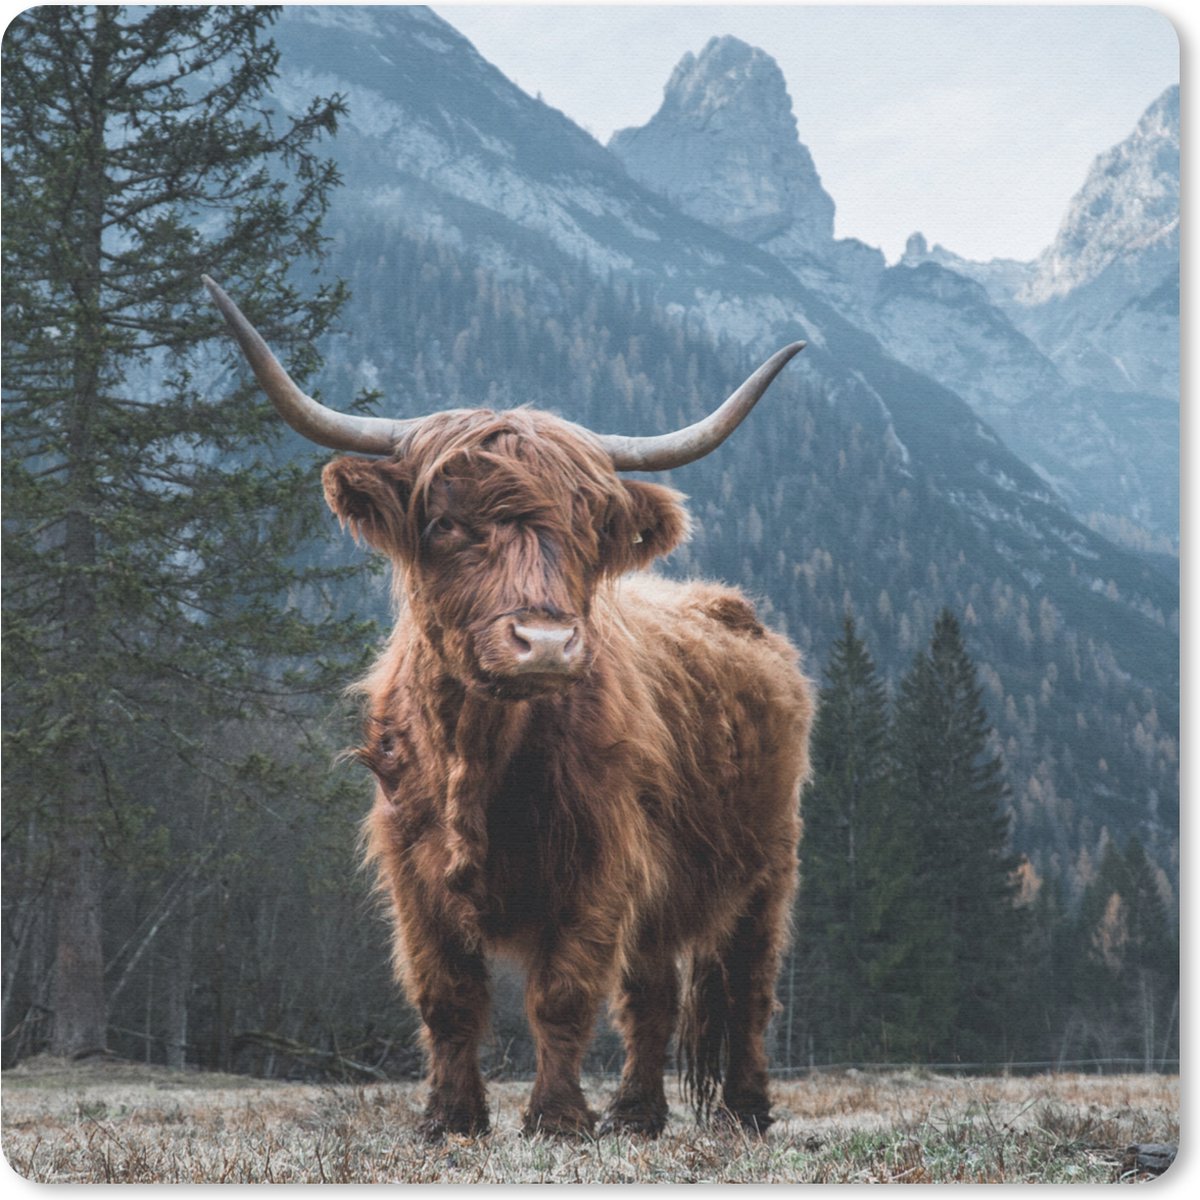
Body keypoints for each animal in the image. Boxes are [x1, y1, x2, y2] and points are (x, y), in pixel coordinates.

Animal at [203, 276, 814, 1139]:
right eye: (445, 523)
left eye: (589, 529)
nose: (547, 642)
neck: (478, 753)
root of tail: (733, 608)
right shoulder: (412, 870)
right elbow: (447, 997)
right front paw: (450, 1118)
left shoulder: (599, 861)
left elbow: (563, 995)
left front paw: (556, 1118)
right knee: (653, 995)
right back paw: (637, 1113)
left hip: (768, 865)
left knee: (748, 987)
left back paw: (746, 1111)